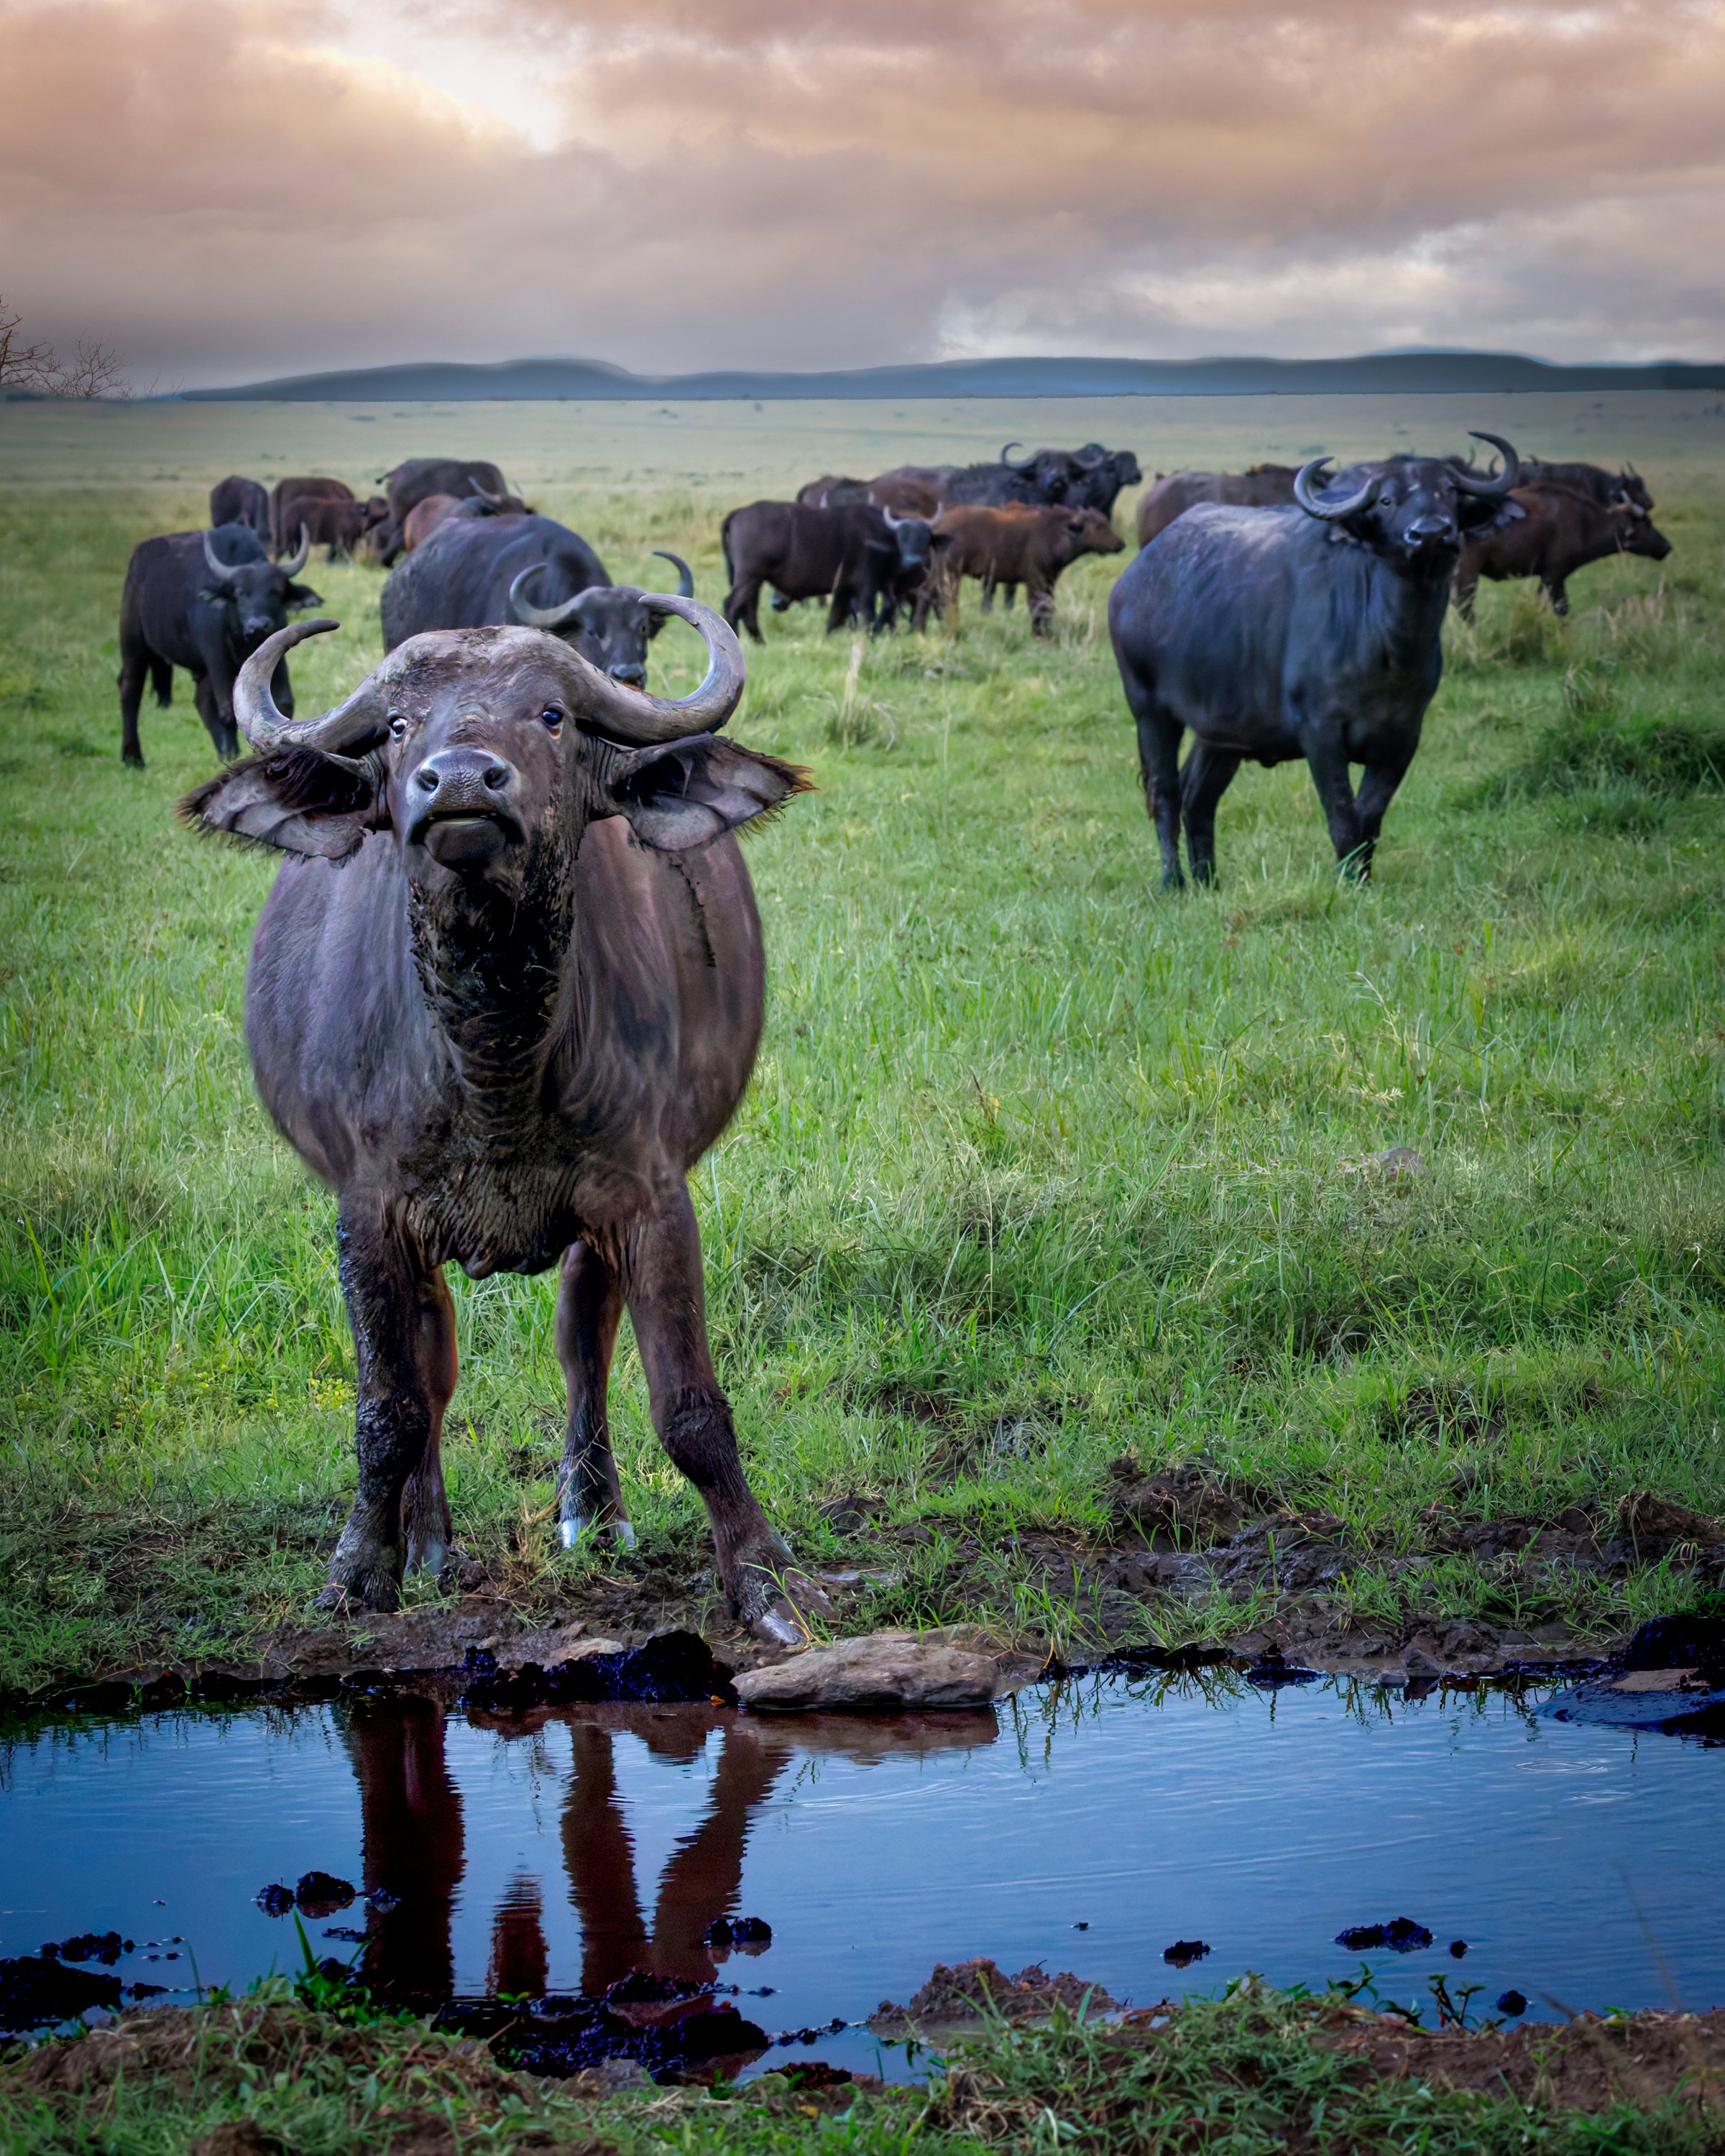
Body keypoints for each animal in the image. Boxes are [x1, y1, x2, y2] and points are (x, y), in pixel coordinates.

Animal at [118, 524, 318, 767]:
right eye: (240, 593)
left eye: (277, 592)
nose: (258, 625)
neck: (239, 635)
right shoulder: (216, 659)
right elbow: (225, 710)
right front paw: (233, 754)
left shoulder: (276, 649)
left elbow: (284, 701)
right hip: (134, 644)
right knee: (130, 686)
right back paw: (132, 757)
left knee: (200, 699)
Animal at [180, 603, 832, 1644]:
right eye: (398, 727)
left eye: (553, 715)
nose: (460, 782)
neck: (494, 1056)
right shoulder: (370, 1213)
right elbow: (389, 1407)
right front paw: (358, 1572)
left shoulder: (650, 1197)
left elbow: (689, 1406)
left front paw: (769, 1582)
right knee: (434, 1365)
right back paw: (429, 1544)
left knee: (581, 1339)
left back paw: (591, 1511)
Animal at [922, 504, 1123, 633]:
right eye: (1098, 526)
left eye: (1106, 522)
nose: (1120, 544)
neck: (1053, 534)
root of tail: (938, 527)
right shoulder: (1035, 581)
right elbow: (1037, 608)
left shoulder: (1049, 582)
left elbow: (1049, 607)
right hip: (951, 574)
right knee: (946, 599)